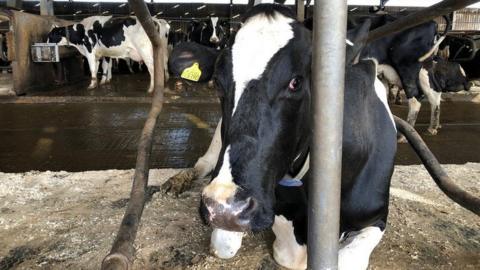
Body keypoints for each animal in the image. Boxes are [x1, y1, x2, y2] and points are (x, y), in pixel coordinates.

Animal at [188, 4, 398, 270]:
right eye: (217, 82)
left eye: (296, 82)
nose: (224, 208)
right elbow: (226, 246)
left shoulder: (377, 216)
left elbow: (347, 259)